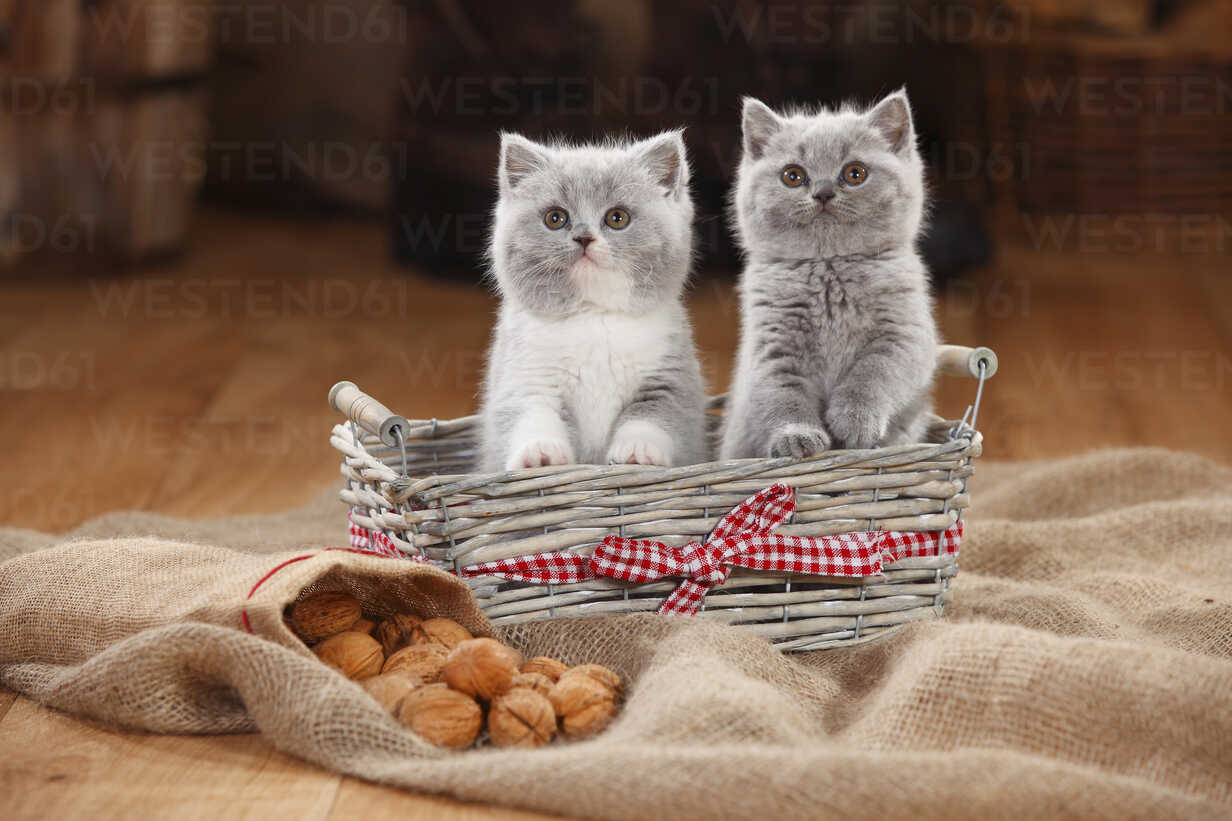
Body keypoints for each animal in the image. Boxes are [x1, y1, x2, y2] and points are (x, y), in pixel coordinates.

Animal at [475, 131, 709, 470]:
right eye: (555, 218)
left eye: (617, 218)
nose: (584, 238)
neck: (594, 315)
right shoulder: (525, 375)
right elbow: (530, 415)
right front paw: (540, 452)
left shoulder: (669, 376)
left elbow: (656, 415)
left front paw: (638, 450)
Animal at [719, 92, 936, 461]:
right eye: (793, 175)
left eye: (855, 173)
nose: (822, 192)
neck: (830, 268)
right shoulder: (771, 345)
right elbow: (783, 394)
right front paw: (796, 436)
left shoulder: (906, 335)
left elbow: (873, 374)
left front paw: (856, 421)